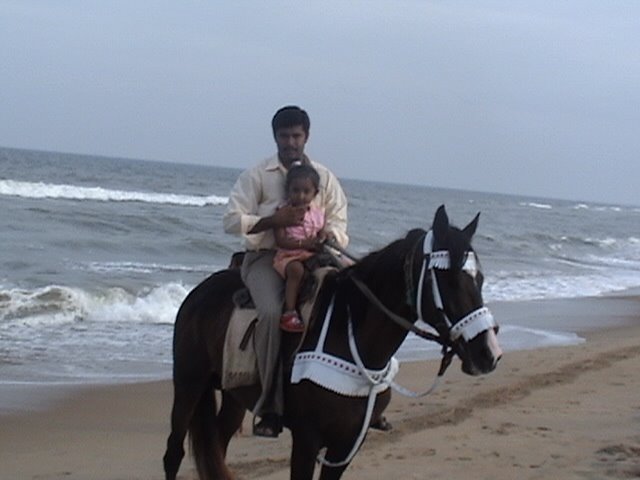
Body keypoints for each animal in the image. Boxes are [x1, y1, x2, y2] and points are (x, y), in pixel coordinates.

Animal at [162, 205, 502, 480]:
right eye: (448, 279)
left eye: (480, 279)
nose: (489, 353)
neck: (353, 339)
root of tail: (199, 292)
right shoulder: (307, 440)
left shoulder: (346, 446)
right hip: (189, 384)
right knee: (173, 454)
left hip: (234, 396)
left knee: (217, 446)